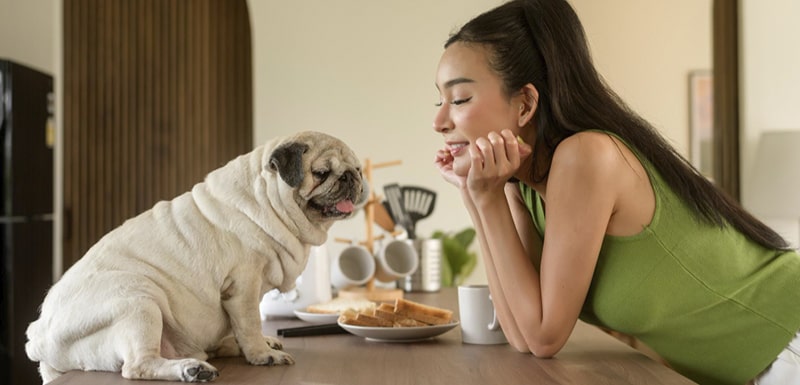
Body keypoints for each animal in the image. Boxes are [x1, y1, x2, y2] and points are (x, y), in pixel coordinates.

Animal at [25, 131, 368, 380]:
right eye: (321, 173)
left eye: (357, 169)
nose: (351, 178)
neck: (265, 201)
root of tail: (39, 340)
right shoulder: (243, 287)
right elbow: (249, 324)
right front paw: (261, 355)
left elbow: (246, 326)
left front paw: (258, 345)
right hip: (138, 301)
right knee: (137, 365)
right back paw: (191, 370)